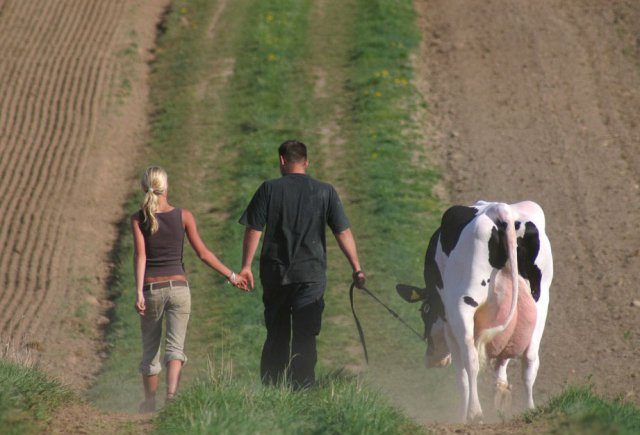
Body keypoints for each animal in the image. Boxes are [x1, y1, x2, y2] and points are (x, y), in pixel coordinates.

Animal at [396, 201, 552, 422]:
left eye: (424, 312)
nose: (431, 359)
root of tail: (500, 210)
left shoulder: (448, 323)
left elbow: (461, 372)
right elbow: (503, 357)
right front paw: (501, 392)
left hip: (463, 305)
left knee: (471, 359)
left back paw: (474, 412)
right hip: (541, 302)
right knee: (530, 359)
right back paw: (529, 409)